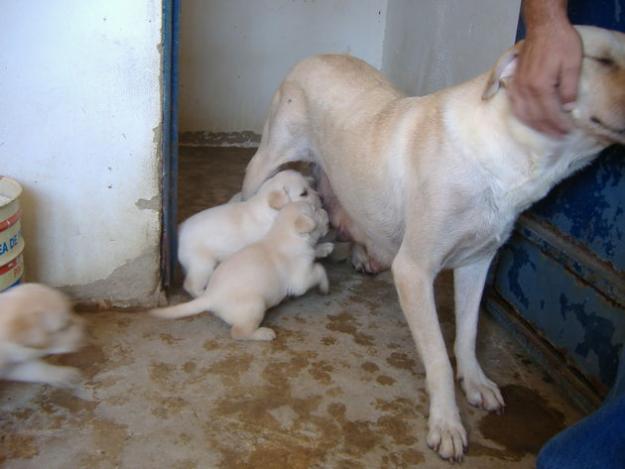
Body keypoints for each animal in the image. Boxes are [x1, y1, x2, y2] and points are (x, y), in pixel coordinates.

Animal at [151, 200, 332, 340]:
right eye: (315, 210)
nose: (326, 210)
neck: (284, 234)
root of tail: (210, 296)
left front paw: (325, 248)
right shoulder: (300, 280)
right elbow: (319, 269)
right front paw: (325, 287)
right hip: (255, 304)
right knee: (238, 332)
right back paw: (263, 334)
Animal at [178, 169, 320, 296]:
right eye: (304, 193)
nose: (321, 197)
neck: (269, 208)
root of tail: (180, 232)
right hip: (203, 264)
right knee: (191, 285)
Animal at [238, 26, 624, 460]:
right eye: (602, 60)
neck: (503, 156)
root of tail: (318, 55)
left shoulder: (478, 263)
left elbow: (468, 333)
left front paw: (475, 382)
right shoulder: (413, 271)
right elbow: (438, 355)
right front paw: (446, 423)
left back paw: (362, 254)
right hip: (267, 159)